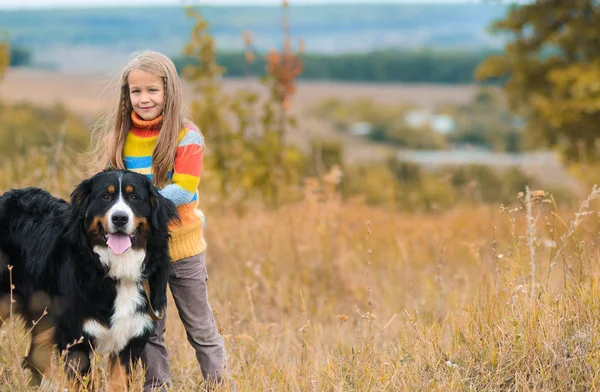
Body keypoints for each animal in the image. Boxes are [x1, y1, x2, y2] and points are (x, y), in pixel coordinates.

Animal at [0, 168, 178, 388]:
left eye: (134, 197)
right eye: (105, 197)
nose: (120, 218)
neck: (116, 269)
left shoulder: (131, 337)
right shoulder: (75, 336)